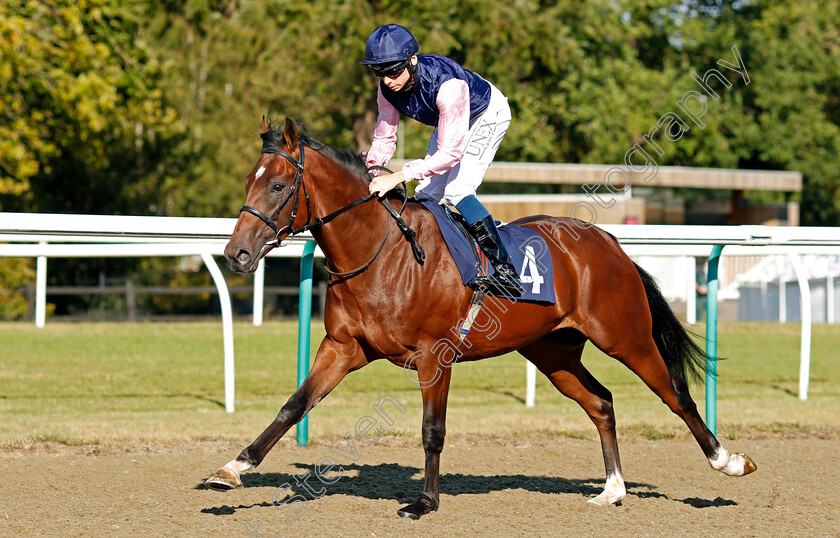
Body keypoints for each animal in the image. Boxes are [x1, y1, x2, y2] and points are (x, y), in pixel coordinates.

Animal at [207, 118, 756, 520]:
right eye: (250, 182)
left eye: (279, 185)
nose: (236, 255)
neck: (382, 254)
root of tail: (609, 242)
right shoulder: (342, 348)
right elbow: (293, 406)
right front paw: (232, 468)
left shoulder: (435, 357)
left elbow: (432, 429)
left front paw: (424, 502)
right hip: (552, 352)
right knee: (601, 403)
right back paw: (613, 488)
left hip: (626, 337)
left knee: (676, 394)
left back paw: (728, 461)